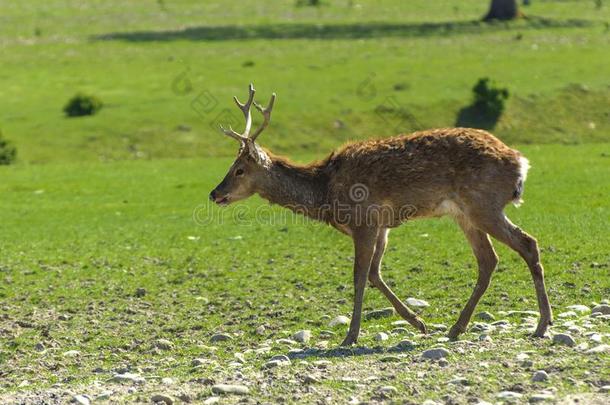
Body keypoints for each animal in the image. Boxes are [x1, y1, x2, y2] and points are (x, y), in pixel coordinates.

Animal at [208, 83, 552, 346]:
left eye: (239, 170)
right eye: (230, 166)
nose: (214, 193)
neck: (326, 192)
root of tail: (520, 163)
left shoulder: (364, 221)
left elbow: (360, 275)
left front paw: (350, 336)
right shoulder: (382, 227)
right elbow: (375, 273)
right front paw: (419, 323)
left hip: (484, 204)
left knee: (527, 243)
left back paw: (541, 324)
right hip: (465, 214)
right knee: (489, 260)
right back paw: (457, 328)